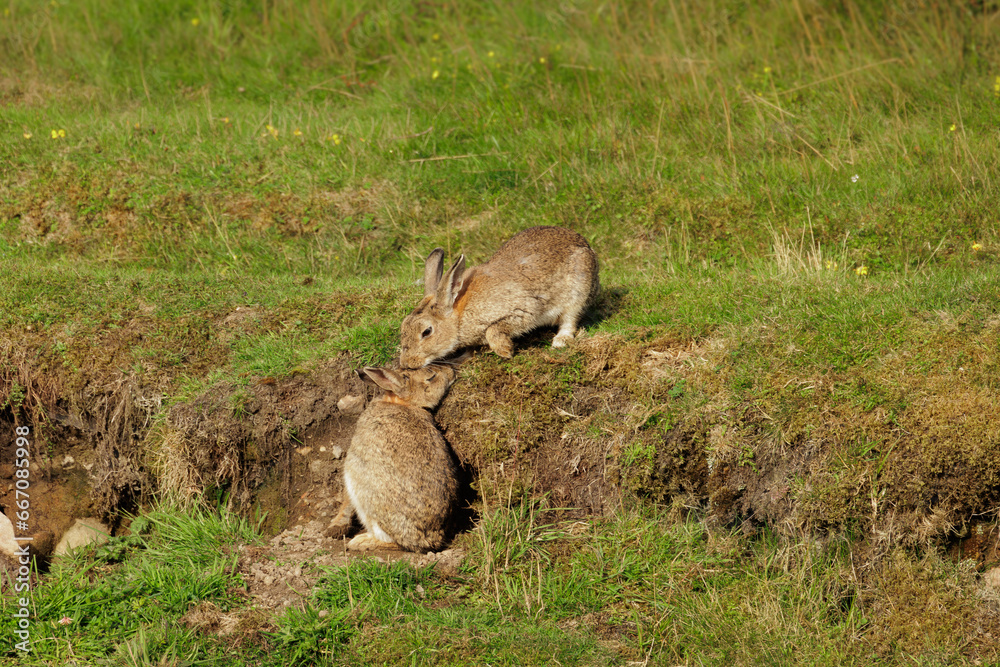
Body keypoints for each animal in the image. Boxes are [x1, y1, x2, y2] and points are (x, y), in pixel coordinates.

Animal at [325, 360, 462, 553]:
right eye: (431, 376)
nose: (452, 371)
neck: (401, 402)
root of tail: (429, 540)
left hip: (367, 500)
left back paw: (360, 541)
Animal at [399, 225, 599, 369]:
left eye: (426, 332)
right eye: (403, 328)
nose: (407, 363)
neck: (458, 313)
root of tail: (586, 246)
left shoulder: (522, 310)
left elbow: (493, 329)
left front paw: (505, 350)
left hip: (579, 291)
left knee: (569, 320)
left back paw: (560, 341)